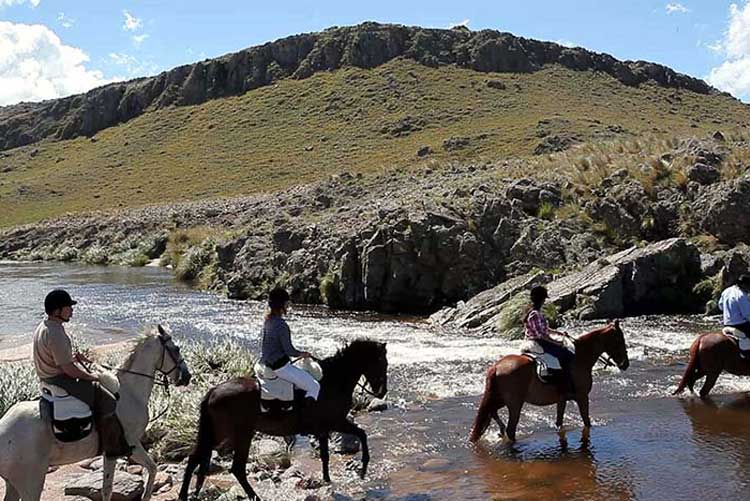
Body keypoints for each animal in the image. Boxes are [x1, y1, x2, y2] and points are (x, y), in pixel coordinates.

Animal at [0, 324, 192, 500]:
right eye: (176, 348)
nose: (187, 377)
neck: (129, 391)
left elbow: (145, 471)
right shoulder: (129, 445)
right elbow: (148, 470)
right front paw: (146, 496)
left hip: (13, 483)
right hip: (31, 482)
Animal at [472, 320, 632, 442]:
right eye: (620, 340)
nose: (625, 364)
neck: (580, 358)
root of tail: (496, 367)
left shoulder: (562, 400)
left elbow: (559, 422)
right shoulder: (582, 397)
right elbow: (586, 421)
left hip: (501, 399)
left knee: (492, 411)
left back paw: (501, 430)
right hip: (515, 404)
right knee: (510, 429)